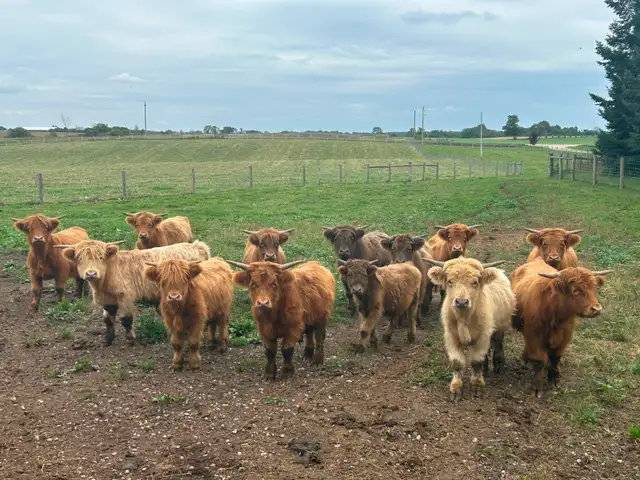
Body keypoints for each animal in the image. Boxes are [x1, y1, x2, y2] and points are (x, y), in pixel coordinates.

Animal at [57, 239, 210, 346]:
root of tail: (197, 246)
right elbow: (108, 319)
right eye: (80, 258)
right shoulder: (108, 299)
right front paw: (108, 339)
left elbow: (126, 319)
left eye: (100, 257)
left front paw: (130, 339)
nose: (91, 273)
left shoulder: (125, 297)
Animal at [425, 257, 514, 401]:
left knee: (498, 342)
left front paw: (477, 386)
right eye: (449, 281)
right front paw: (456, 388)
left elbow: (476, 361)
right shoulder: (451, 337)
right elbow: (457, 362)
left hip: (501, 325)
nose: (461, 302)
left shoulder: (482, 337)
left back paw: (498, 363)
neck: (464, 318)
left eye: (475, 282)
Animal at [511, 257, 611, 397]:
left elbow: (555, 358)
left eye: (594, 288)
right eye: (575, 290)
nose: (596, 309)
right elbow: (540, 360)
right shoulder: (534, 336)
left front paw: (554, 380)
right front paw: (537, 387)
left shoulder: (565, 337)